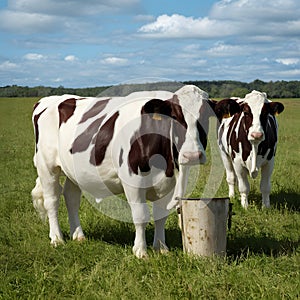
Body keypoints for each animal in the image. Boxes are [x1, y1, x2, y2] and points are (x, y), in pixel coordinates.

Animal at [31, 85, 216, 258]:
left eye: (205, 116)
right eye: (175, 117)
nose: (192, 156)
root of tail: (48, 100)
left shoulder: (168, 184)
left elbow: (161, 215)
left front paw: (161, 248)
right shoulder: (133, 182)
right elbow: (141, 216)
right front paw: (141, 251)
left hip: (74, 171)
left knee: (71, 198)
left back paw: (78, 235)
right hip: (46, 167)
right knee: (52, 201)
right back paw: (57, 238)